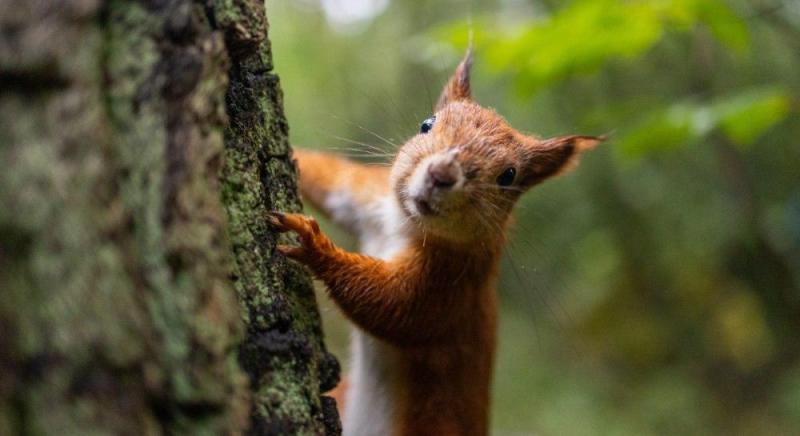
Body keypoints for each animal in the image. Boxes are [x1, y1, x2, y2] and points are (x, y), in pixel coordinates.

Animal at [268, 50, 600, 436]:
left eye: (508, 176)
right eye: (426, 124)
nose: (441, 174)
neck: (403, 225)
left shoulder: (451, 283)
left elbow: (394, 306)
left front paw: (314, 245)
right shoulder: (371, 197)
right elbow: (333, 180)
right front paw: (294, 154)